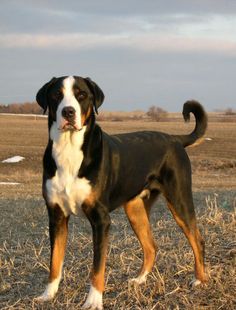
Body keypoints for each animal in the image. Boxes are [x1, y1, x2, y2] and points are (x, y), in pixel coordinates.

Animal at [35, 75, 206, 310]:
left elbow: (97, 267)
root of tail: (175, 139)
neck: (69, 151)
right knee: (151, 247)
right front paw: (48, 295)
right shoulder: (56, 216)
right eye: (56, 95)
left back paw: (200, 280)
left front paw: (93, 301)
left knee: (197, 240)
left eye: (82, 95)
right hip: (135, 210)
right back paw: (140, 279)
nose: (68, 112)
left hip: (179, 200)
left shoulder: (100, 220)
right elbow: (54, 262)